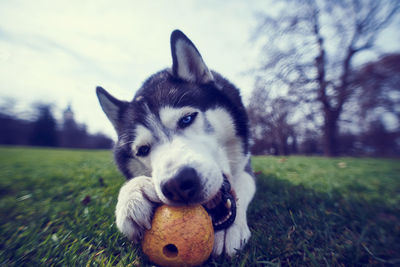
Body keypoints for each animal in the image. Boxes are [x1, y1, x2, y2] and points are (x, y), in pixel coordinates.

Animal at [95, 29, 255, 258]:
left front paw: (231, 228)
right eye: (143, 150)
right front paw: (132, 195)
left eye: (187, 119)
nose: (177, 185)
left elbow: (242, 182)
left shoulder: (246, 163)